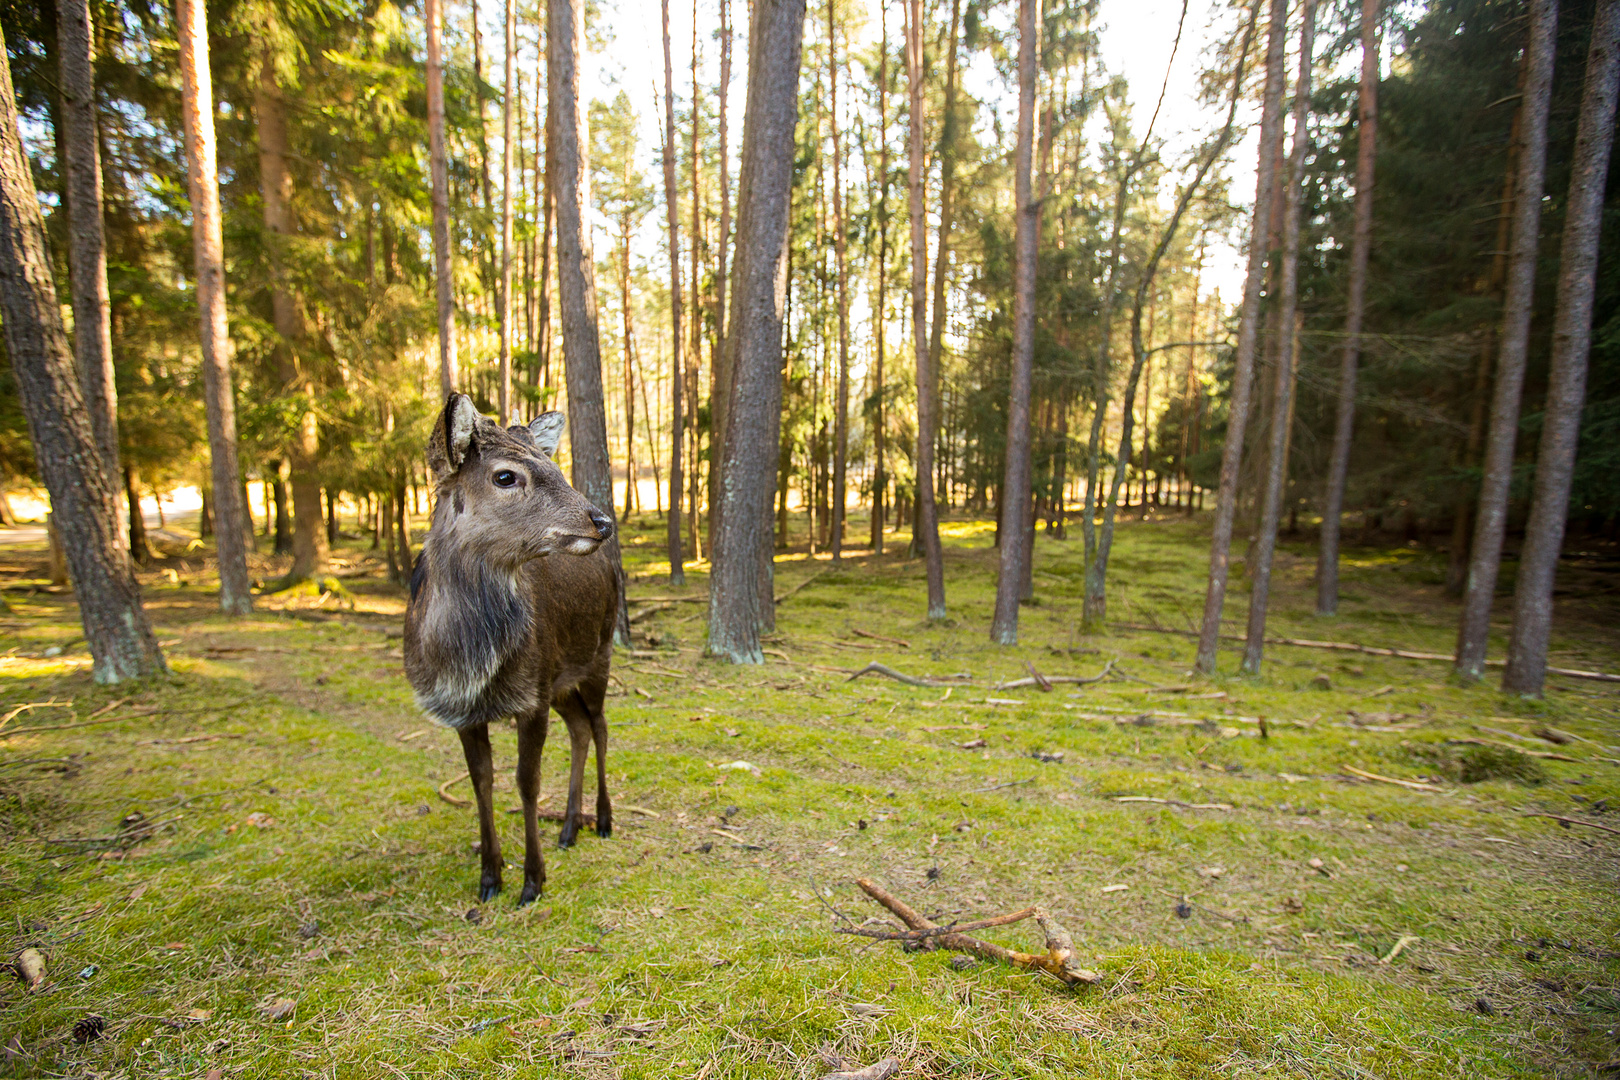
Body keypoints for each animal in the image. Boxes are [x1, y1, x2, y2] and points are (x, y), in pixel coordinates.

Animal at [405, 395, 618, 906]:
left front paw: (532, 881)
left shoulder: (531, 697)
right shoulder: (464, 710)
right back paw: (568, 829)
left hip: (599, 652)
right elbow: (482, 781)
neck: (469, 662)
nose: (602, 520)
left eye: (555, 466)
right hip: (559, 680)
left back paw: (602, 819)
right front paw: (490, 876)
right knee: (580, 728)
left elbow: (526, 781)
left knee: (600, 726)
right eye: (505, 476)